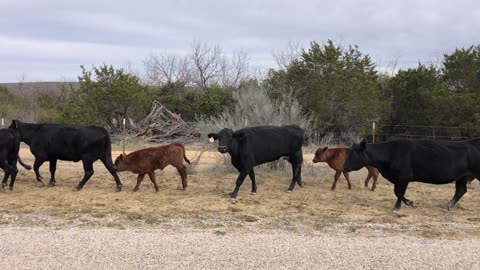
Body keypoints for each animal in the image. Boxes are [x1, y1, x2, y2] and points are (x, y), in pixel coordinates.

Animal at [344, 139, 480, 211]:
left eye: (353, 154)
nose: (344, 167)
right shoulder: (397, 178)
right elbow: (397, 192)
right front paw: (409, 202)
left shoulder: (404, 177)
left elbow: (399, 193)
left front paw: (397, 207)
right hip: (461, 177)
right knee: (461, 190)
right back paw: (449, 205)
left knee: (461, 190)